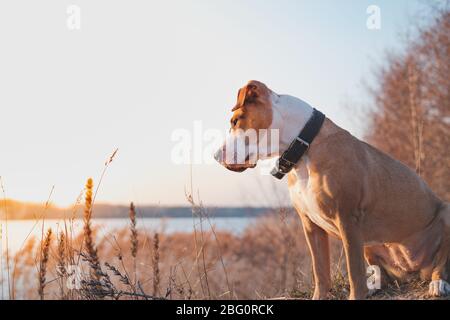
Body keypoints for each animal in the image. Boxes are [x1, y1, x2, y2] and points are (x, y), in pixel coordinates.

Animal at [214, 80, 450, 300]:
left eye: (235, 121)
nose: (215, 156)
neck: (304, 148)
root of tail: (415, 271)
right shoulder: (310, 225)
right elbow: (320, 272)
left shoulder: (347, 220)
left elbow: (354, 273)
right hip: (370, 242)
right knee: (382, 273)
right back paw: (375, 286)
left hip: (444, 215)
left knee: (441, 264)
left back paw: (437, 283)